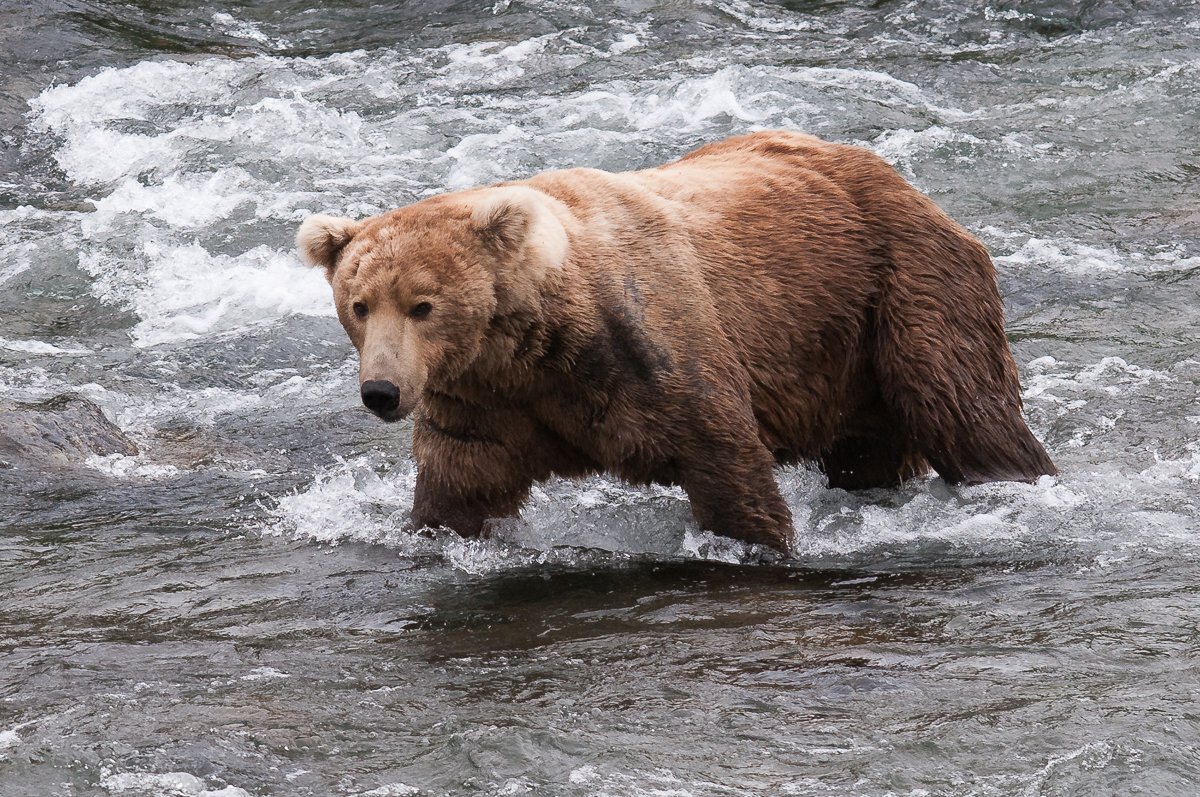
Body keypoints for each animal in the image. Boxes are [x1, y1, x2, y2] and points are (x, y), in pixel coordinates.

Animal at [296, 130, 1056, 554]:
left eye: (422, 305)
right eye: (359, 304)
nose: (382, 391)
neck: (545, 339)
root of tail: (901, 178)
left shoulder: (654, 347)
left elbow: (723, 455)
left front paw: (757, 542)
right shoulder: (486, 397)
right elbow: (461, 485)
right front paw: (433, 531)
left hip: (898, 287)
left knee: (961, 404)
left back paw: (1018, 480)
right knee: (870, 446)